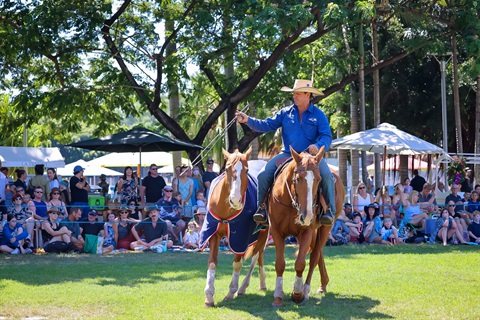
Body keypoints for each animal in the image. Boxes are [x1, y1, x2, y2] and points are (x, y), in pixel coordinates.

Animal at [201, 148, 270, 308]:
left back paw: (244, 286)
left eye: (246, 170)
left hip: (264, 231)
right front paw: (209, 295)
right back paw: (261, 283)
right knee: (259, 255)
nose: (236, 200)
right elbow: (212, 262)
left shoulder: (240, 238)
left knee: (256, 255)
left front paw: (231, 291)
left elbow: (238, 264)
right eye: (226, 169)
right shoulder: (214, 233)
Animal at [268, 146, 344, 306]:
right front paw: (278, 296)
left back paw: (307, 290)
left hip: (325, 227)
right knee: (318, 253)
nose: (307, 215)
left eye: (319, 180)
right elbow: (280, 264)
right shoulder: (276, 231)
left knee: (315, 256)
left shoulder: (307, 232)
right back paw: (323, 284)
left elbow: (300, 263)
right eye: (298, 179)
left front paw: (297, 293)